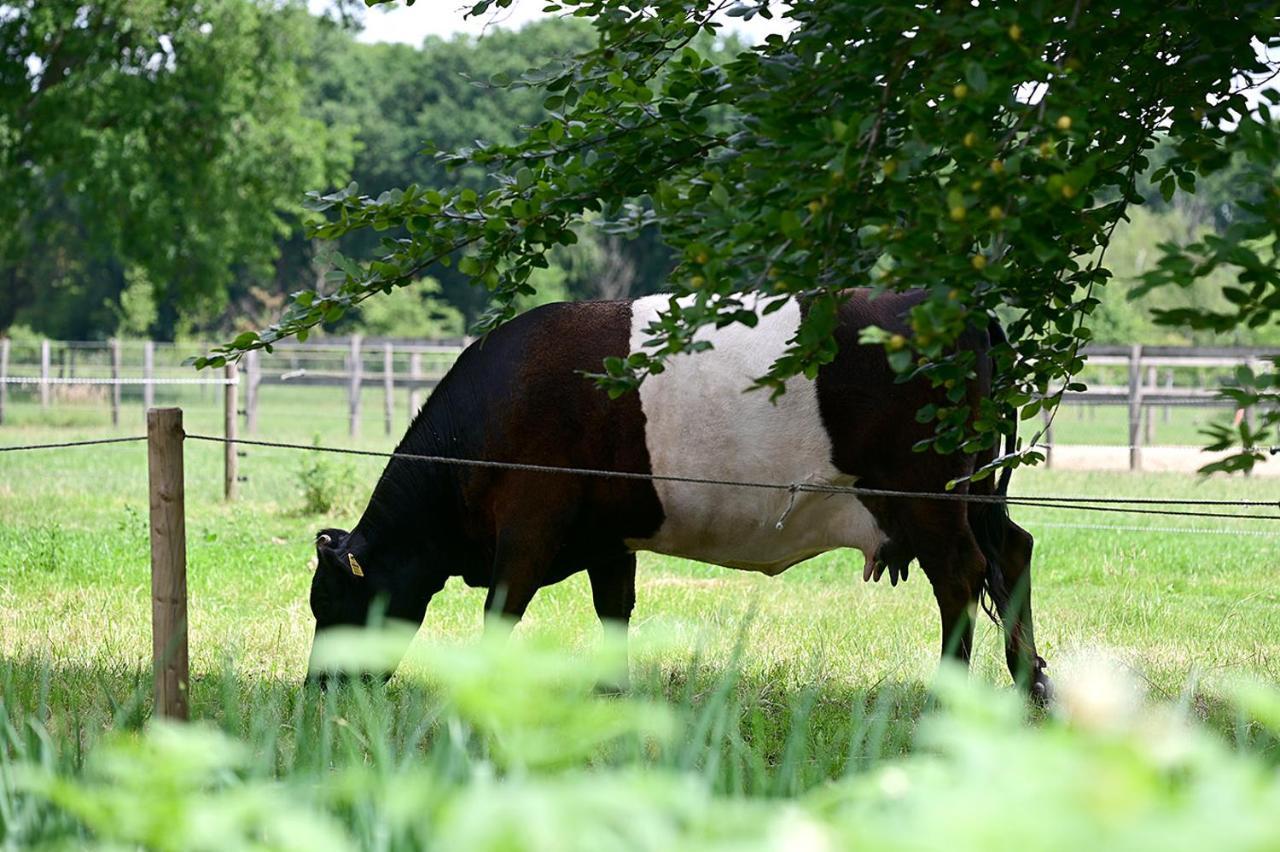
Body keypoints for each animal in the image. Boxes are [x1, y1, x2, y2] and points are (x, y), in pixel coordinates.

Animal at [304, 289, 1054, 701]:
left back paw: (949, 699)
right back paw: (1030, 687)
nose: (316, 690)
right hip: (975, 495)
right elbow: (614, 611)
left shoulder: (527, 529)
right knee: (1013, 553)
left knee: (960, 577)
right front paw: (612, 692)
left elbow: (501, 614)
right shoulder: (608, 539)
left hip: (927, 499)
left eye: (331, 604)